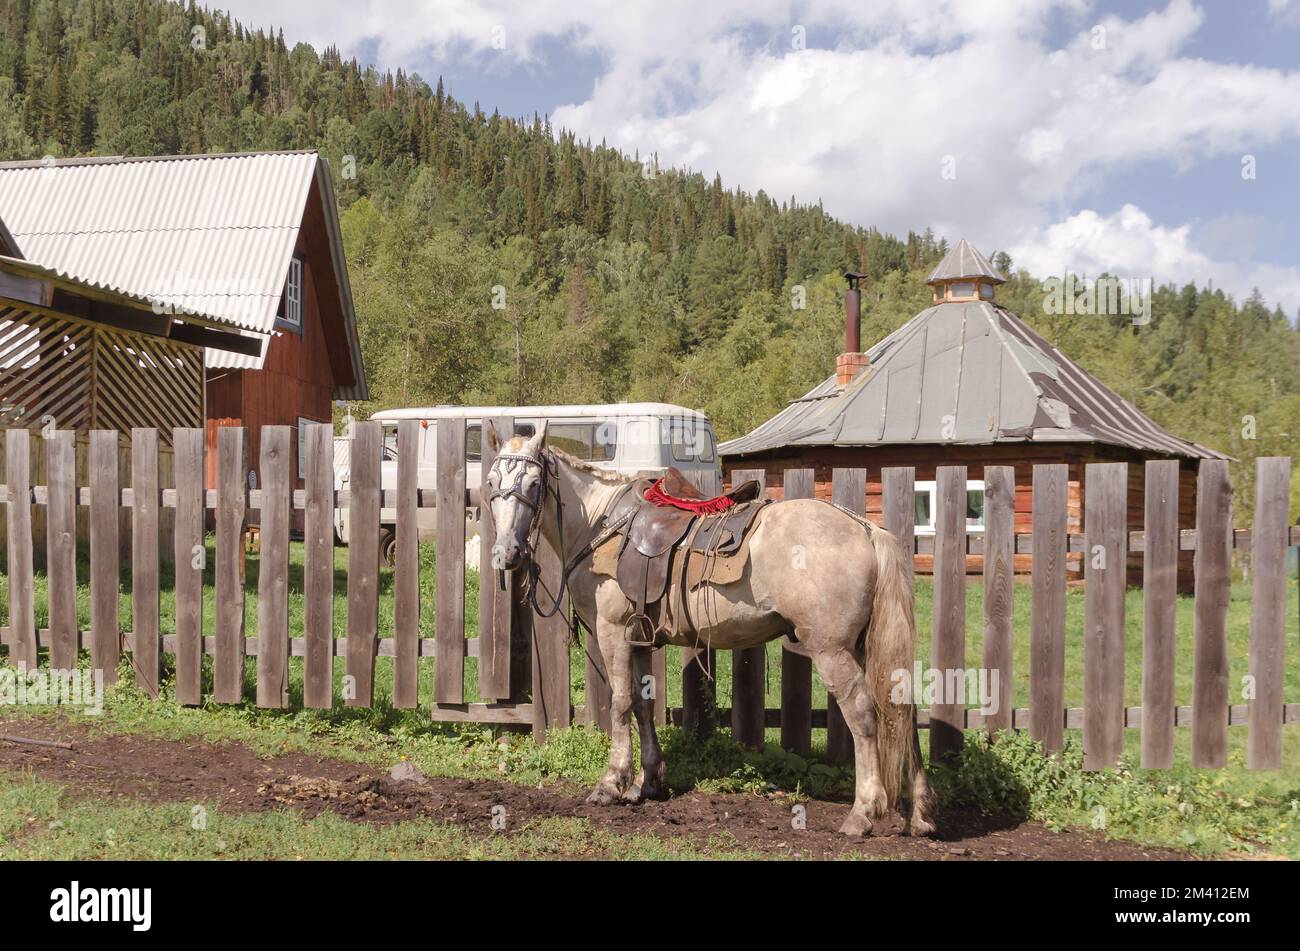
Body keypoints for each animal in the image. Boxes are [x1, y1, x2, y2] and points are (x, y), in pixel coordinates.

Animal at [483, 426, 930, 836]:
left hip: (832, 650)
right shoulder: (638, 638)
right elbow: (644, 705)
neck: (599, 523)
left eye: (534, 483)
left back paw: (863, 812)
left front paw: (612, 783)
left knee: (863, 714)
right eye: (490, 483)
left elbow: (621, 703)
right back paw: (920, 813)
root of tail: (865, 528)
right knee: (901, 708)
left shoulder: (612, 632)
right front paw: (648, 782)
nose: (507, 554)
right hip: (863, 646)